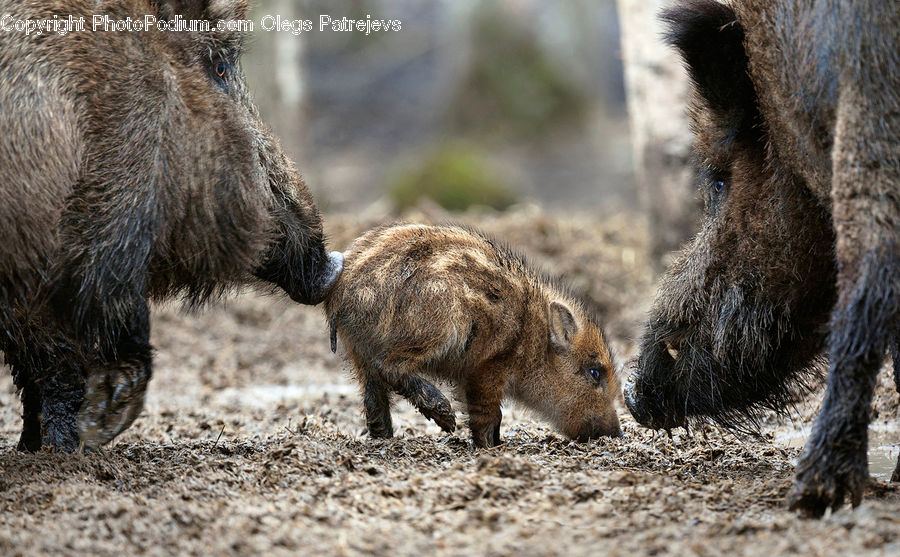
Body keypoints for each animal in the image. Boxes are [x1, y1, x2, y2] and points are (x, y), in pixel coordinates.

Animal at [325, 223, 621, 448]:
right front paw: (491, 447)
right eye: (595, 372)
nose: (616, 434)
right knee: (388, 366)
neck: (532, 338)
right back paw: (445, 418)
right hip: (434, 328)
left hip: (357, 348)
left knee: (373, 400)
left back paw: (384, 439)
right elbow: (489, 414)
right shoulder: (488, 366)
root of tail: (344, 290)